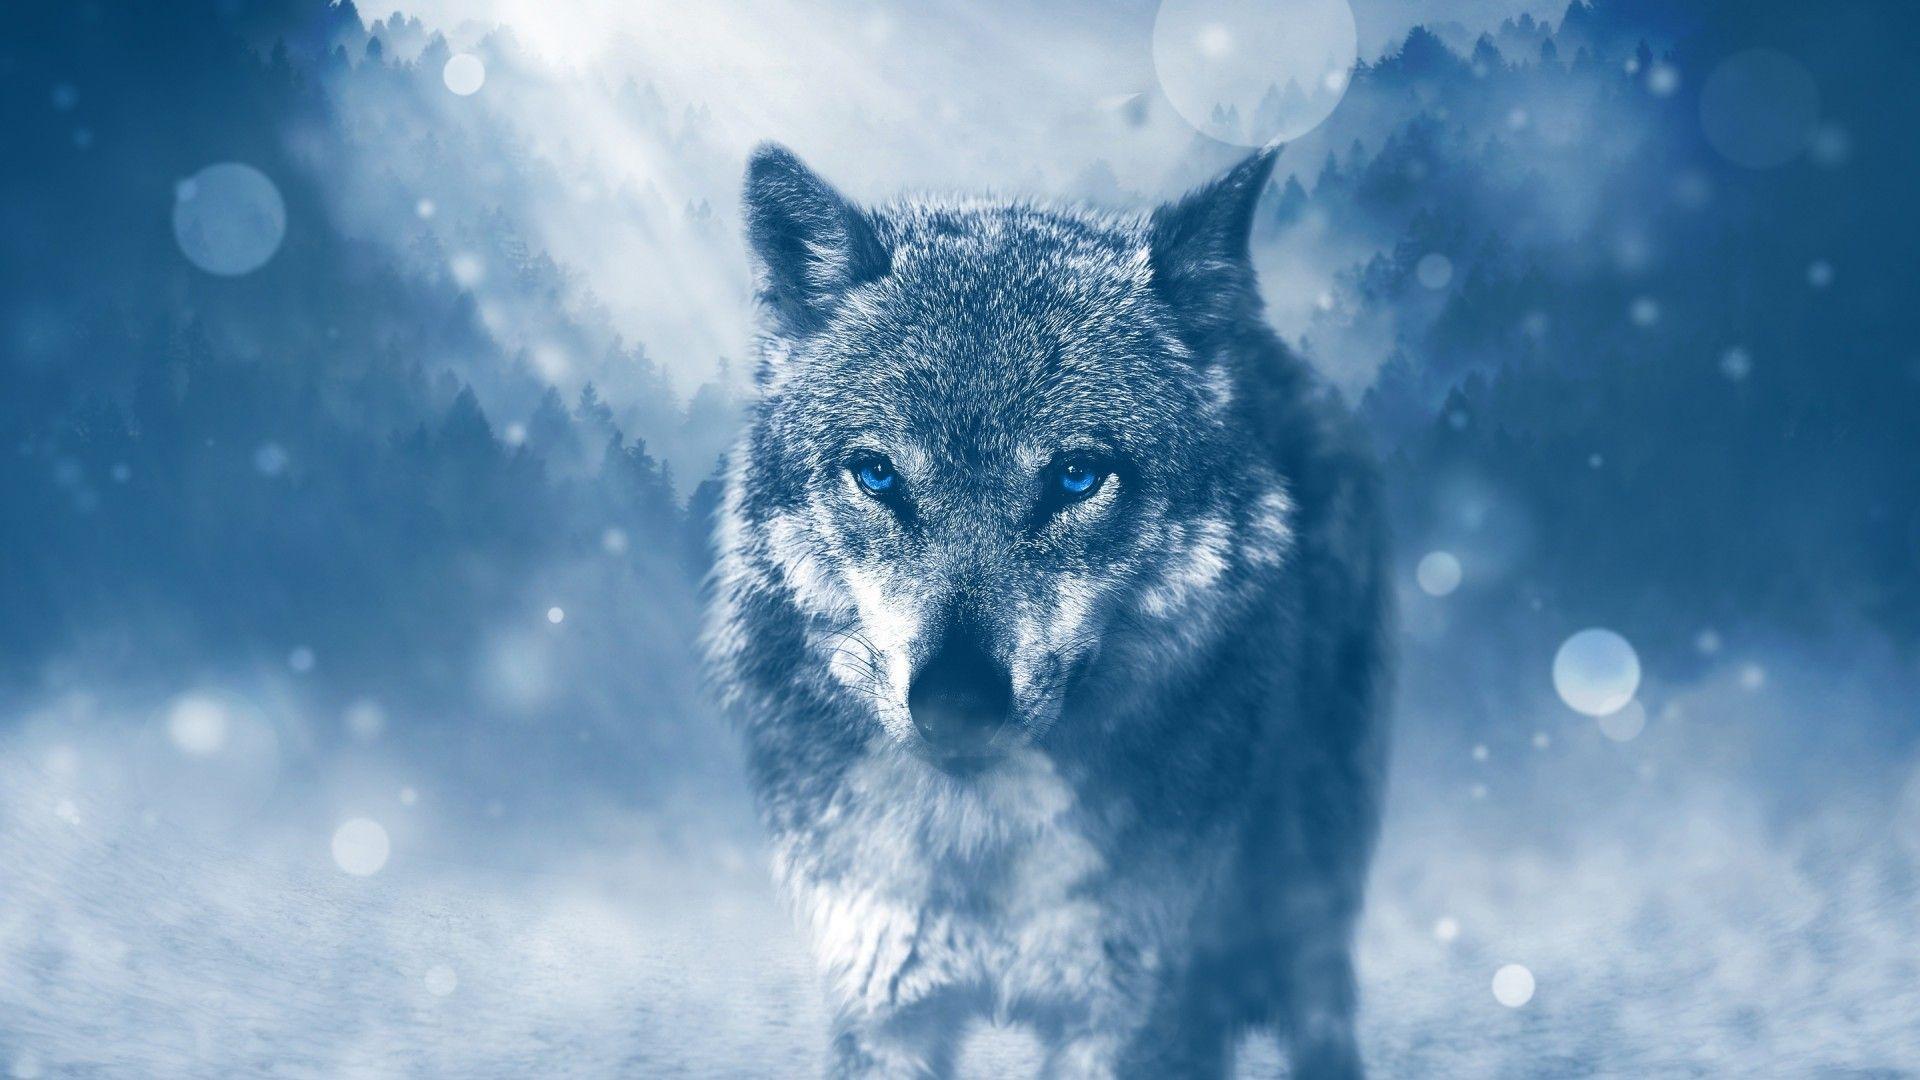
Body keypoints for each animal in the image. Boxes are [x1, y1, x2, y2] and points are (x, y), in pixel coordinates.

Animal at [704, 143, 1391, 1078]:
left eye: (1076, 475)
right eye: (878, 474)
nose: (957, 702)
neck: (984, 848)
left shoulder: (1132, 1017)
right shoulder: (883, 1007)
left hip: (1307, 890)